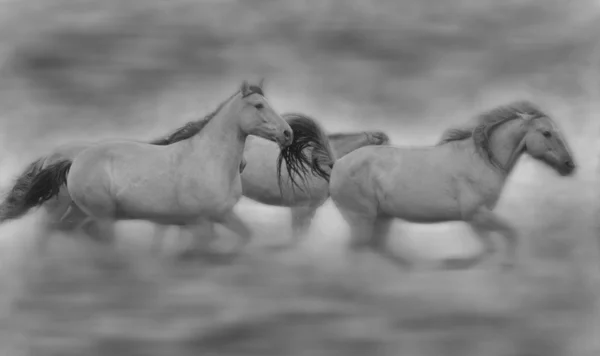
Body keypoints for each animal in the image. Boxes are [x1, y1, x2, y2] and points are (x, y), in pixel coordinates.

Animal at [0, 79, 308, 260]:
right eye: (258, 105)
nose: (288, 133)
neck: (210, 160)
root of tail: (71, 161)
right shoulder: (201, 220)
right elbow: (203, 247)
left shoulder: (219, 215)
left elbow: (244, 237)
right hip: (99, 214)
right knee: (79, 235)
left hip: (78, 211)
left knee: (66, 233)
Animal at [328, 101, 576, 272]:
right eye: (546, 133)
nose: (569, 165)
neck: (481, 160)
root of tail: (338, 165)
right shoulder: (475, 214)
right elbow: (504, 239)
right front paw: (455, 263)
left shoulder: (479, 217)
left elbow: (499, 241)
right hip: (361, 217)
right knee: (356, 249)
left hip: (382, 217)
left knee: (375, 246)